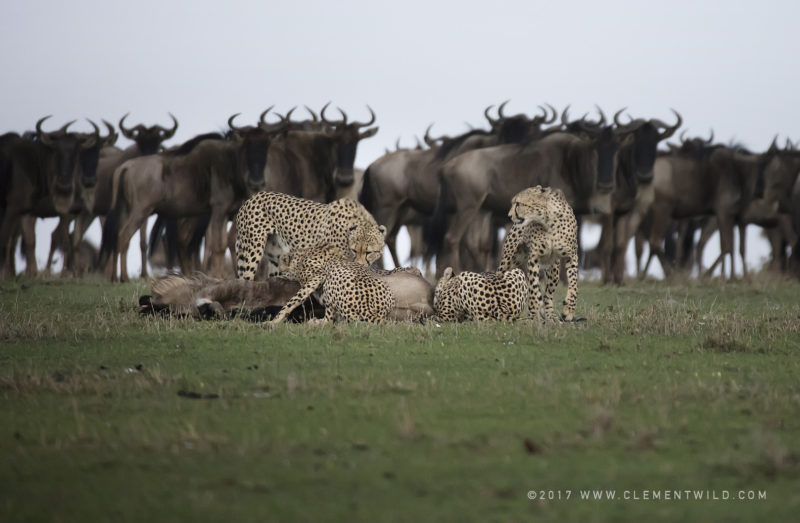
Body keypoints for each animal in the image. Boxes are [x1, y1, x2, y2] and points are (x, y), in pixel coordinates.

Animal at [234, 191, 388, 280]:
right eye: (354, 250)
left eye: (369, 252)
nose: (360, 265)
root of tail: (255, 196)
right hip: (252, 252)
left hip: (276, 257)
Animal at [496, 184, 580, 324]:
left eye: (518, 203)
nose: (509, 215)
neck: (549, 220)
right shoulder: (533, 259)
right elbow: (533, 289)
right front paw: (533, 316)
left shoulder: (572, 255)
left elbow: (574, 284)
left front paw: (569, 309)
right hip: (508, 261)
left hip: (554, 270)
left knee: (548, 294)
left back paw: (550, 316)